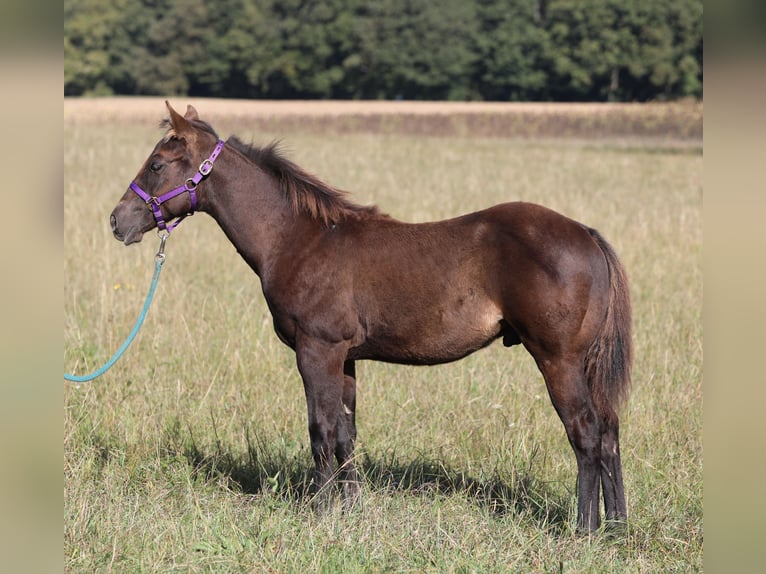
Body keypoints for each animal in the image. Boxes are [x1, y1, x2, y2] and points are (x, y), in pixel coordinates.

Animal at [109, 103, 636, 536]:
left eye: (157, 164)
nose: (118, 221)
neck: (299, 239)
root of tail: (586, 234)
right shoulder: (345, 357)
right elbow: (346, 434)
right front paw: (351, 511)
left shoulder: (317, 351)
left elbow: (320, 431)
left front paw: (321, 514)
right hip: (584, 363)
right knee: (609, 433)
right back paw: (617, 528)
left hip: (558, 360)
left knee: (586, 434)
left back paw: (585, 530)